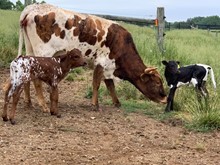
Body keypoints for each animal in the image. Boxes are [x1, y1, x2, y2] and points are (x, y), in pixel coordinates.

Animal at [18, 3, 167, 111]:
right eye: (157, 83)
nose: (165, 98)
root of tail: (32, 8)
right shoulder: (101, 63)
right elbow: (97, 84)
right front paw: (95, 105)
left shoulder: (109, 67)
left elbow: (110, 85)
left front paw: (117, 102)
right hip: (43, 54)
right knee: (36, 79)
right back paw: (42, 104)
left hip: (30, 50)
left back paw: (28, 102)